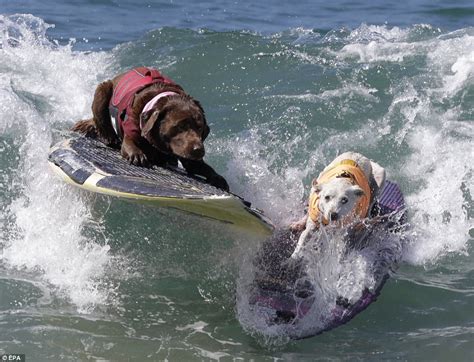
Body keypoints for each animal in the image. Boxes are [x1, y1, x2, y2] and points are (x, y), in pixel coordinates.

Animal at [72, 67, 230, 191]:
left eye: (200, 128)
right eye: (179, 126)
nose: (199, 150)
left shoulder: (189, 158)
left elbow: (202, 167)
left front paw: (217, 177)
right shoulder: (131, 134)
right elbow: (130, 144)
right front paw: (137, 154)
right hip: (103, 88)